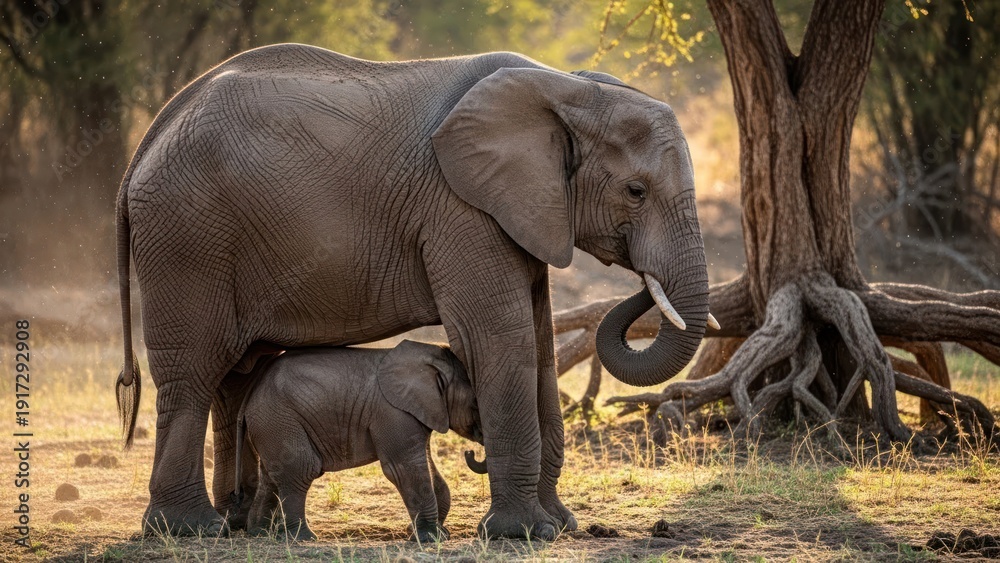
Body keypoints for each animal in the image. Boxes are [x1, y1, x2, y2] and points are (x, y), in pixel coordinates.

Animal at [230, 340, 482, 542]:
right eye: (475, 405)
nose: (469, 453)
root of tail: (249, 398)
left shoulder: (418, 412)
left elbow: (427, 468)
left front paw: (433, 533)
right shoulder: (392, 412)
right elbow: (403, 469)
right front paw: (432, 537)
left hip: (270, 425)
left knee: (271, 477)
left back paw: (261, 533)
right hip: (279, 420)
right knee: (300, 470)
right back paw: (303, 538)